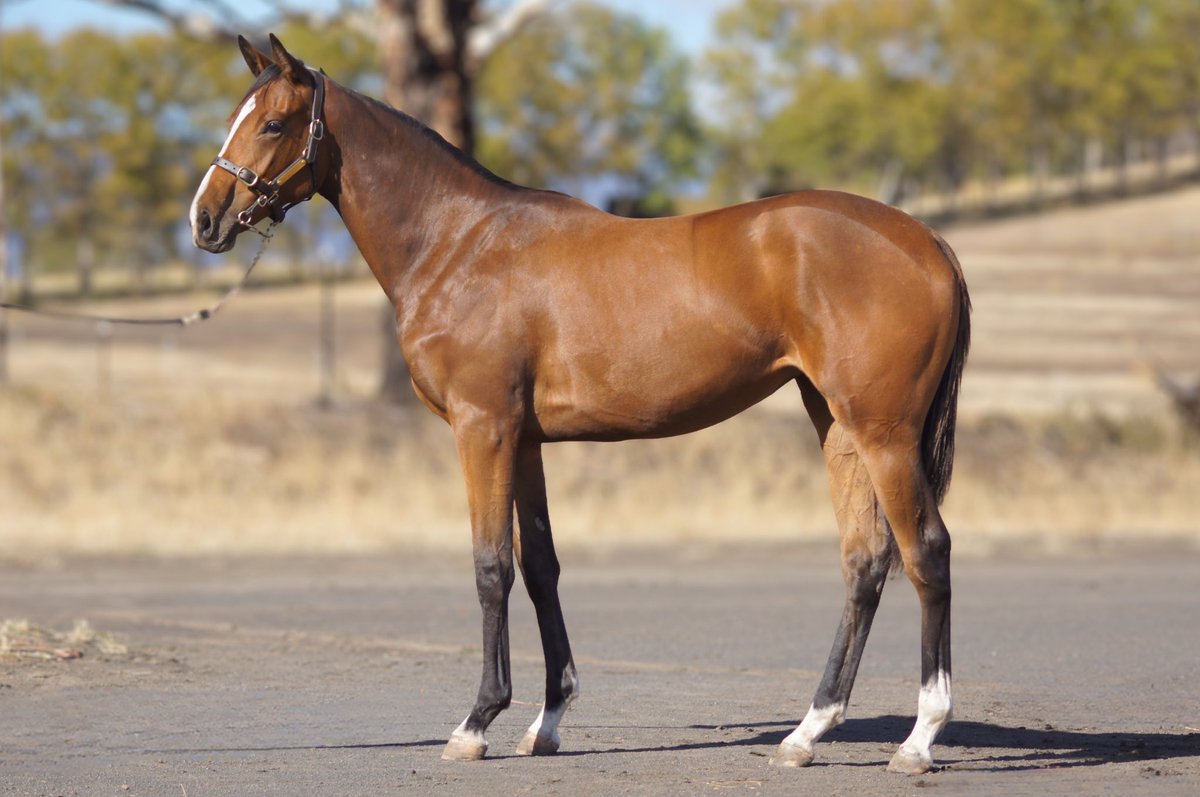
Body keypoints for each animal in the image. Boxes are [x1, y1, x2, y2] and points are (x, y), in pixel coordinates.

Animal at [190, 34, 970, 775]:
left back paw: (919, 738)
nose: (204, 220)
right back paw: (806, 732)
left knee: (925, 551)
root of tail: (927, 240)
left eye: (274, 123)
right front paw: (546, 722)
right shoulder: (524, 439)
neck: (458, 245)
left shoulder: (482, 428)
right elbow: (541, 567)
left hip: (884, 431)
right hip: (836, 423)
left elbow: (491, 566)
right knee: (864, 560)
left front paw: (476, 722)